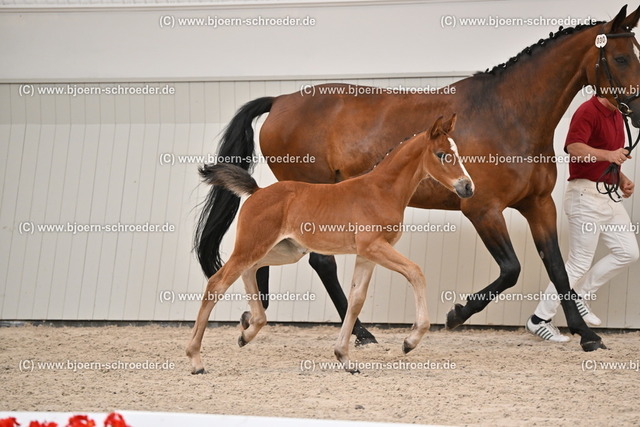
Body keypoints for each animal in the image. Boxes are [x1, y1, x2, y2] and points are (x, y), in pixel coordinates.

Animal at [186, 115, 473, 374]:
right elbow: (415, 272)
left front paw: (344, 358)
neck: (381, 191)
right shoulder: (374, 247)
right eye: (442, 155)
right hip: (253, 245)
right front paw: (409, 342)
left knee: (250, 270)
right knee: (217, 283)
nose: (468, 187)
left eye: (456, 153)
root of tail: (257, 192)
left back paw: (248, 331)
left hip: (284, 250)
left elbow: (356, 299)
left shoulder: (366, 255)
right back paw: (196, 359)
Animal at [195, 5, 640, 352]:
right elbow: (511, 269)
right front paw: (457, 313)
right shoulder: (482, 208)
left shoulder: (538, 204)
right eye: (620, 58)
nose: (636, 110)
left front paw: (586, 335)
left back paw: (259, 319)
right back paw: (359, 332)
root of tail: (280, 101)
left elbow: (559, 268)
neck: (509, 114)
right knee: (318, 260)